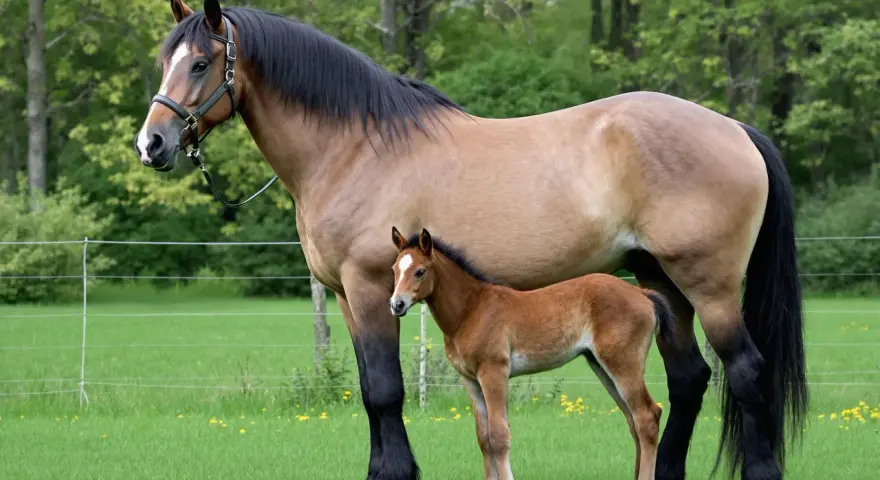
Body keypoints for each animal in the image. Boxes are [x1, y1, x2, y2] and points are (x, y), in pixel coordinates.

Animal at [389, 227, 677, 480]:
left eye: (420, 271)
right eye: (394, 269)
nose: (396, 305)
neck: (470, 310)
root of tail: (642, 294)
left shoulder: (494, 372)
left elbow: (499, 435)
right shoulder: (470, 380)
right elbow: (483, 438)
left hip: (623, 364)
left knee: (647, 417)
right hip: (601, 365)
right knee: (633, 421)